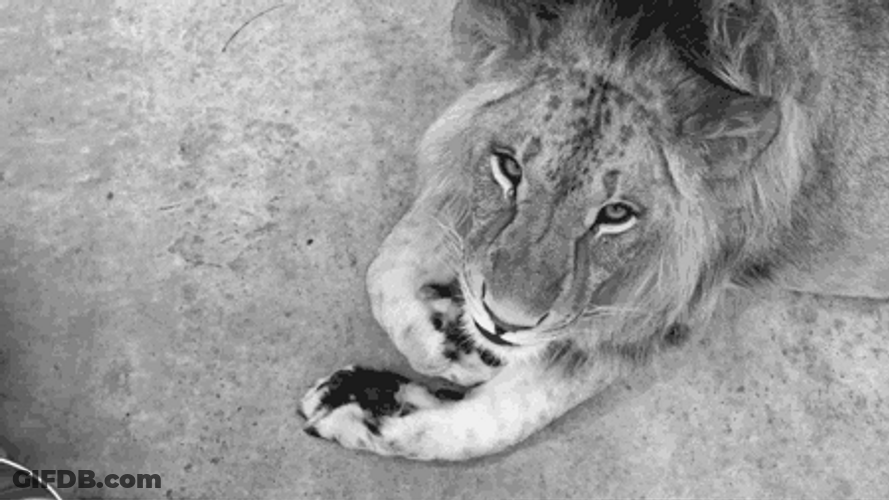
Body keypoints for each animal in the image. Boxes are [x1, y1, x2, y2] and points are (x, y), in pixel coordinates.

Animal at [298, 0, 889, 460]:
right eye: (509, 168)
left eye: (616, 214)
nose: (503, 323)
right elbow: (389, 264)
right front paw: (453, 342)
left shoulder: (667, 306)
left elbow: (505, 414)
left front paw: (364, 407)